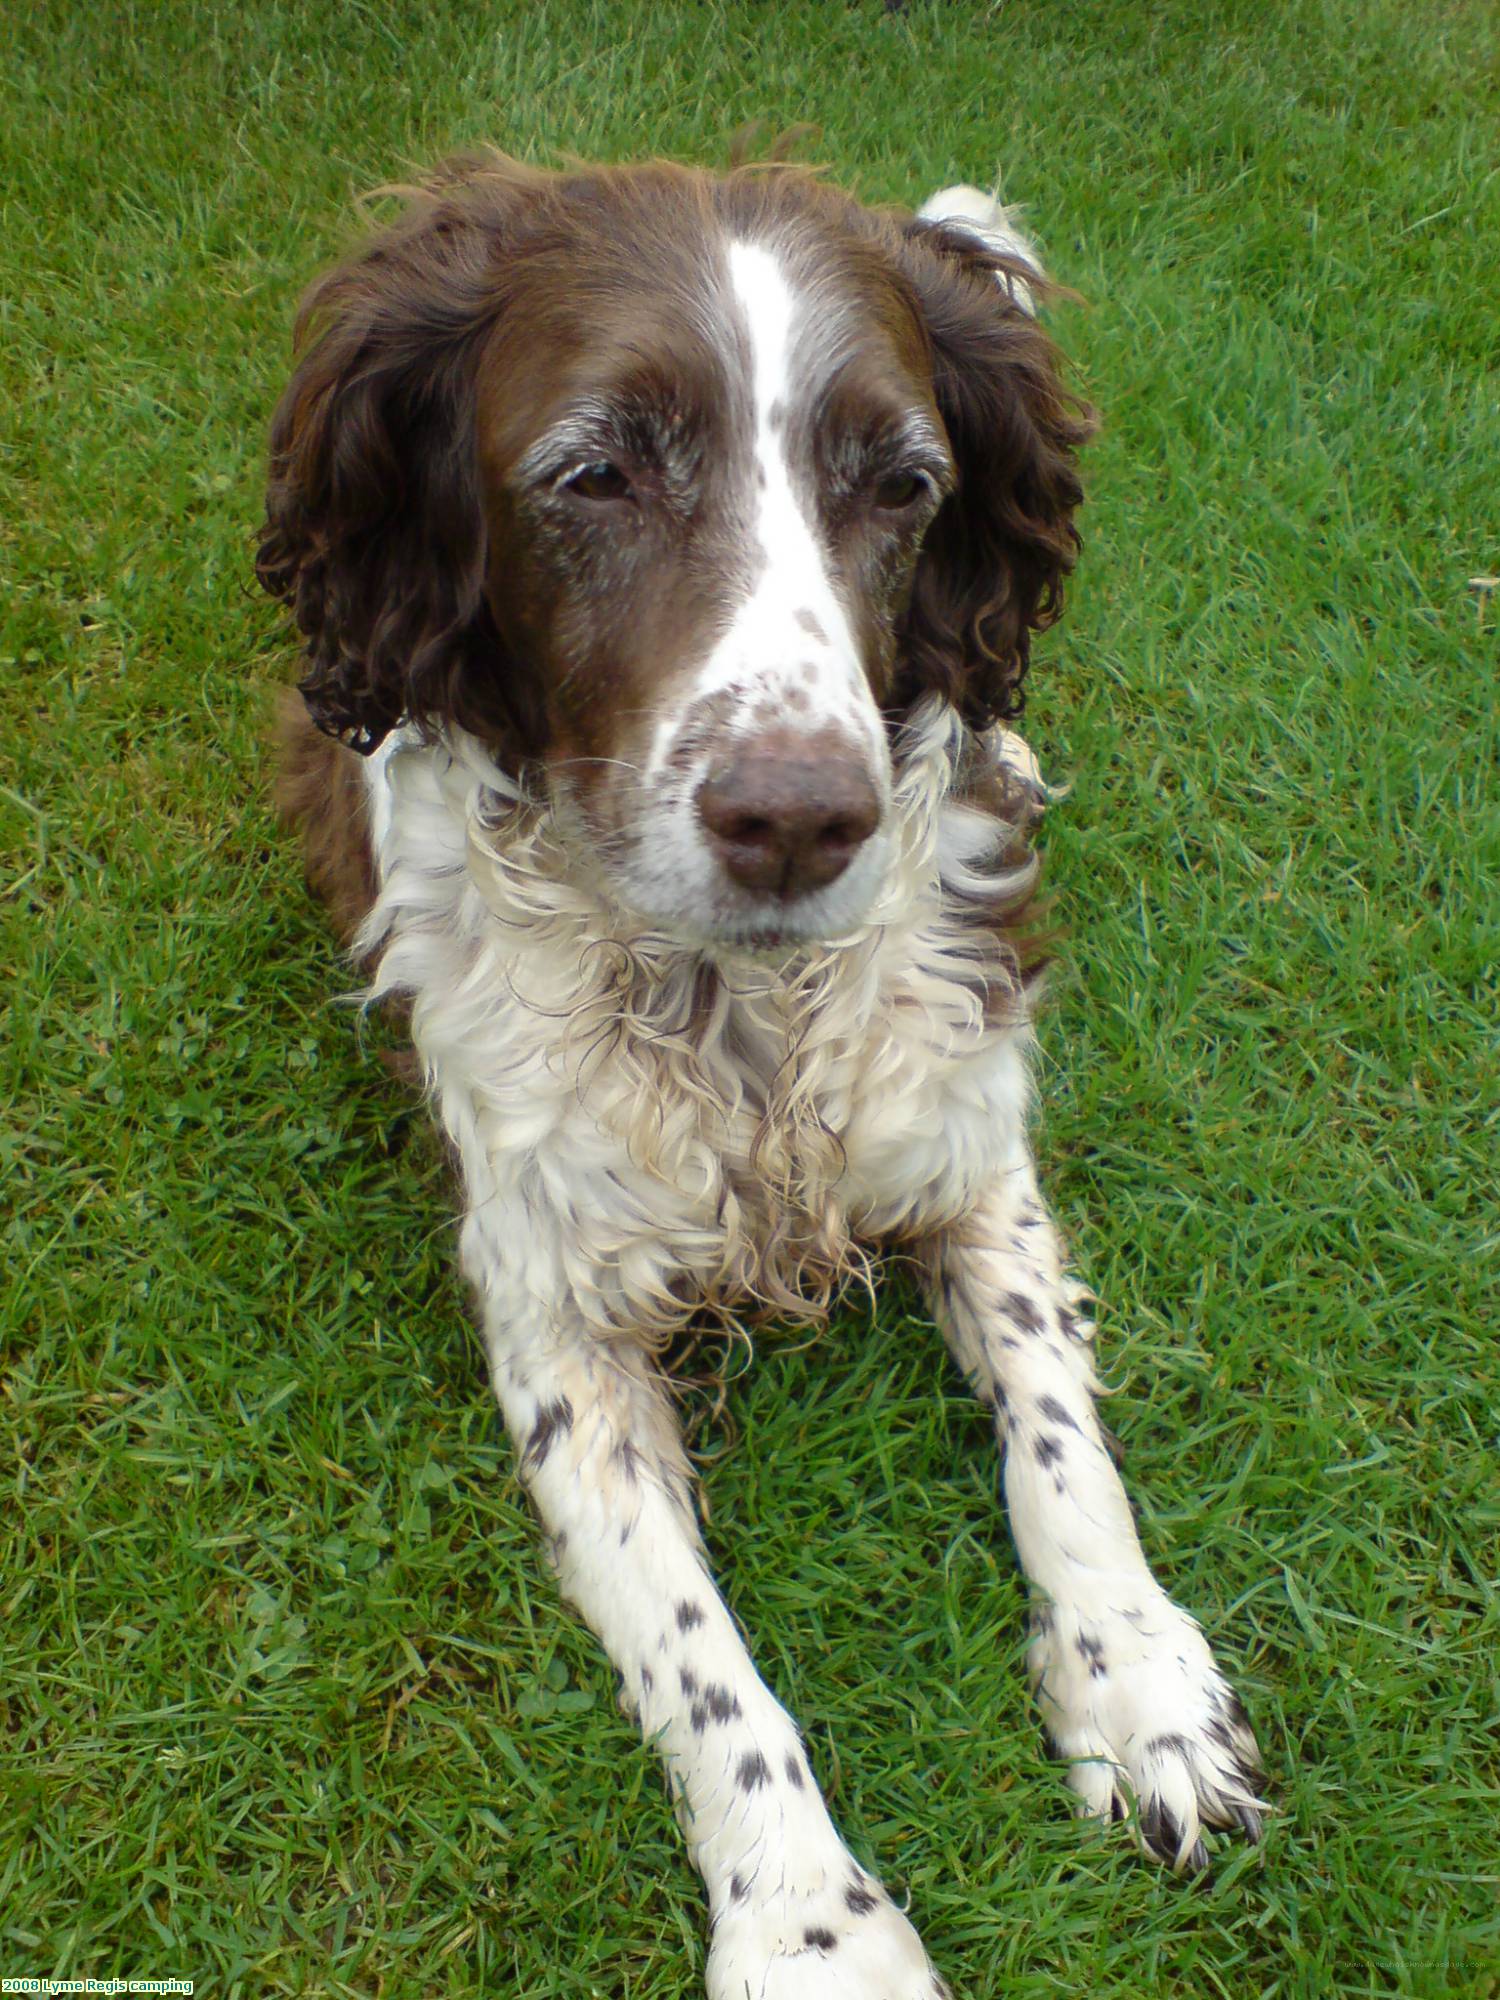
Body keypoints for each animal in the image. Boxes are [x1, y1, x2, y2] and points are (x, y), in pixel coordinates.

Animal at [262, 156, 1272, 2000]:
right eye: (593, 474)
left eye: (906, 486)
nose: (803, 817)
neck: (739, 1014)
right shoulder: (555, 1320)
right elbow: (697, 1655)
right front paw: (810, 1924)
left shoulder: (968, 1149)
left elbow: (1059, 1439)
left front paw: (1140, 1682)